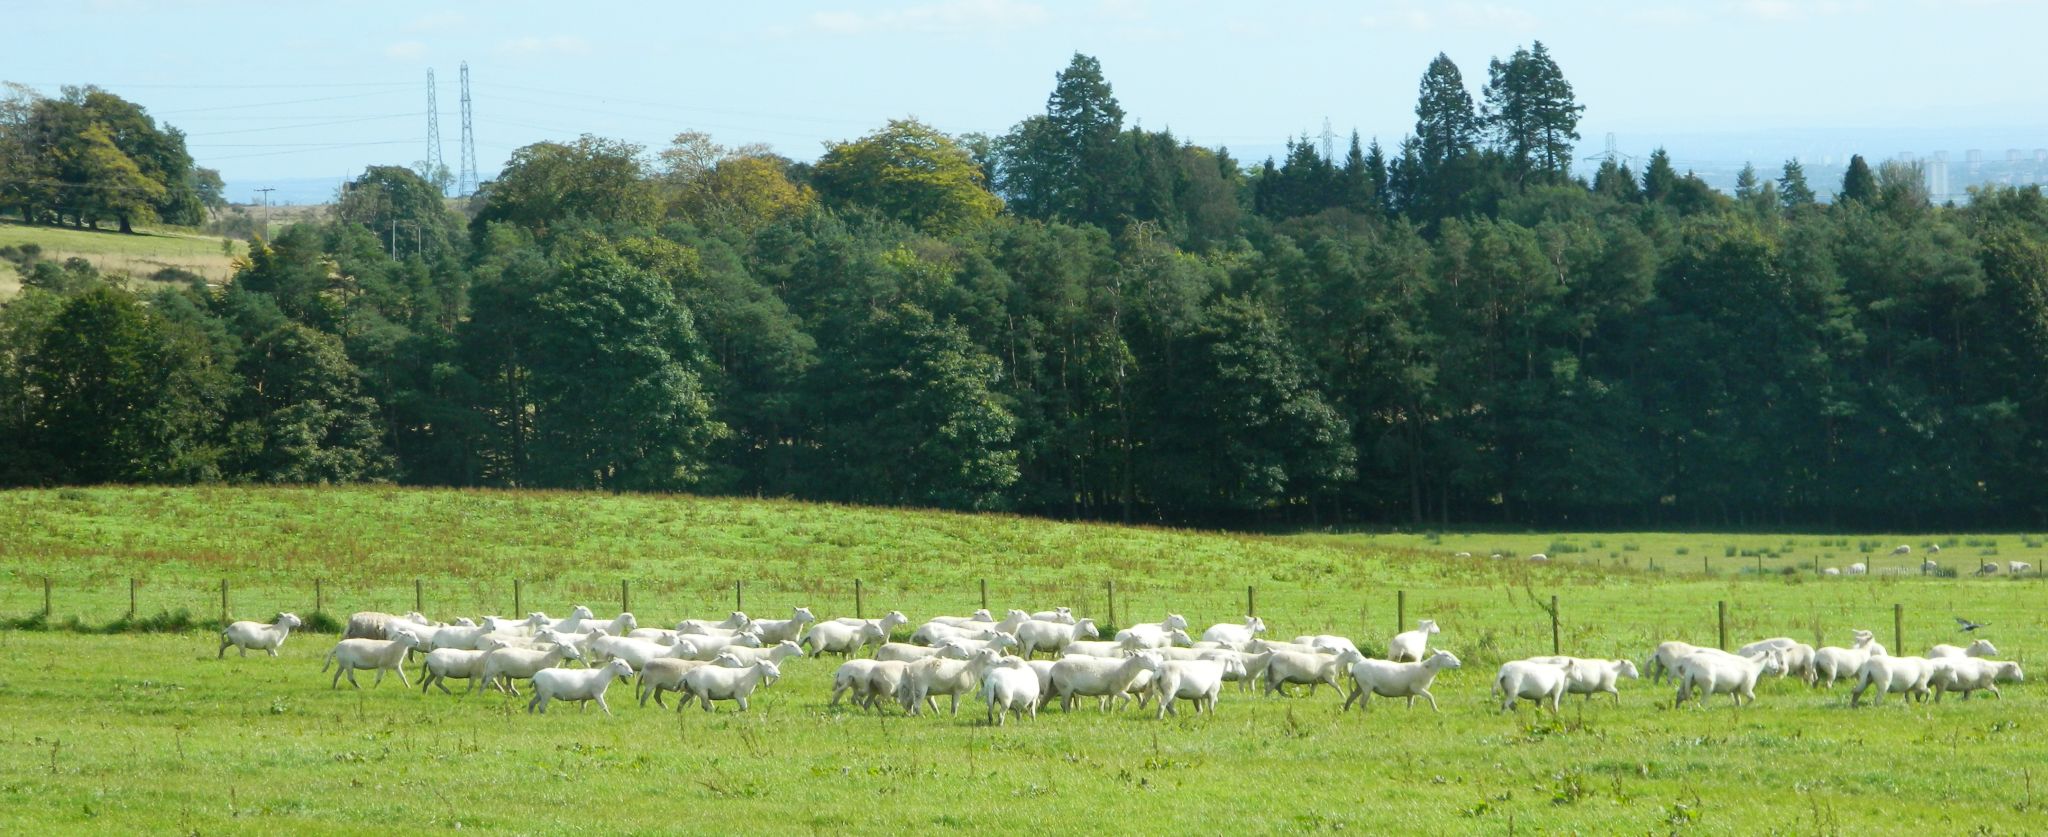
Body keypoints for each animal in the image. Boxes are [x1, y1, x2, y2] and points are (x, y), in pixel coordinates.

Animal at [1335, 646, 1466, 712]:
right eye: (1446, 655)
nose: (1459, 663)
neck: (1427, 669)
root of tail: (1355, 668)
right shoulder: (1417, 688)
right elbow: (1430, 696)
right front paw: (1436, 710)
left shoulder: (1411, 693)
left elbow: (1410, 705)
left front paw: (1409, 713)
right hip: (1366, 686)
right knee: (1362, 702)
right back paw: (1365, 713)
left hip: (1360, 686)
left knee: (1350, 698)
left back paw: (1346, 711)